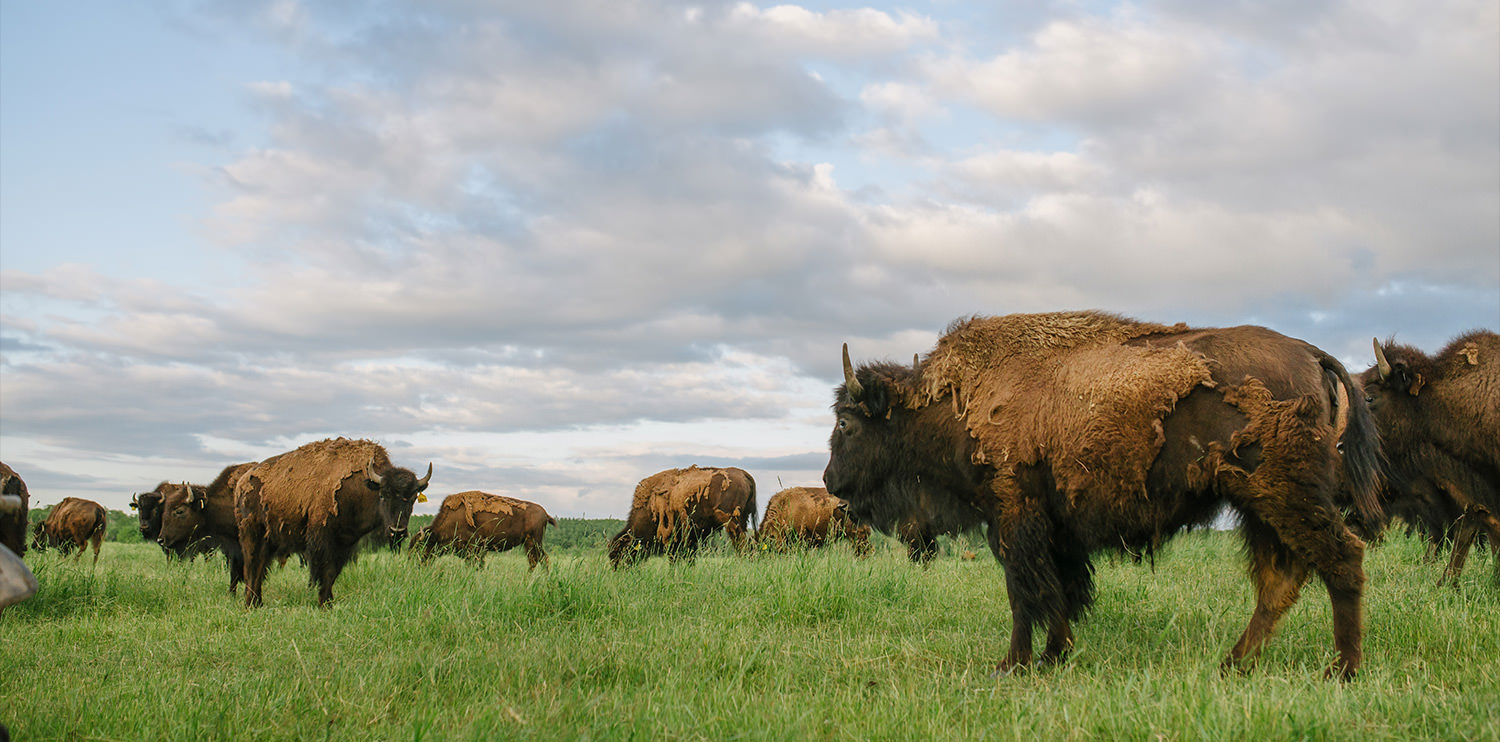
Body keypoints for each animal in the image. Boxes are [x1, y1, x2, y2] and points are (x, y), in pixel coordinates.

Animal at [235, 438, 431, 607]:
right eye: (383, 495)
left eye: (413, 498)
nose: (397, 530)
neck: (360, 487)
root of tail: (241, 482)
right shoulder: (323, 539)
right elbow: (325, 570)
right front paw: (324, 603)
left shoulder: (345, 543)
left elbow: (332, 573)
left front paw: (328, 602)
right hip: (251, 535)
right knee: (252, 566)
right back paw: (250, 604)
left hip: (270, 539)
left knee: (259, 567)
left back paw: (257, 602)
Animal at [412, 491, 556, 569]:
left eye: (420, 547)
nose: (414, 564)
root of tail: (544, 513)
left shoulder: (475, 549)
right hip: (531, 544)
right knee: (539, 560)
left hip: (533, 542)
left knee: (538, 560)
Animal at [608, 466, 757, 568]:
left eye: (621, 552)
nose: (617, 570)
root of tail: (745, 474)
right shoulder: (690, 538)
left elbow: (674, 558)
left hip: (733, 523)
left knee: (742, 545)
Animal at [825, 311, 1381, 679]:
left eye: (845, 423)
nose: (830, 481)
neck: (958, 400)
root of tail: (1311, 353)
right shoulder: (1054, 530)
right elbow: (1059, 591)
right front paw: (1054, 654)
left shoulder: (1012, 515)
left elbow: (1025, 592)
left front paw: (1014, 664)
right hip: (1258, 506)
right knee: (1279, 580)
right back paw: (1230, 664)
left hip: (1283, 497)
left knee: (1340, 560)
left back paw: (1342, 671)